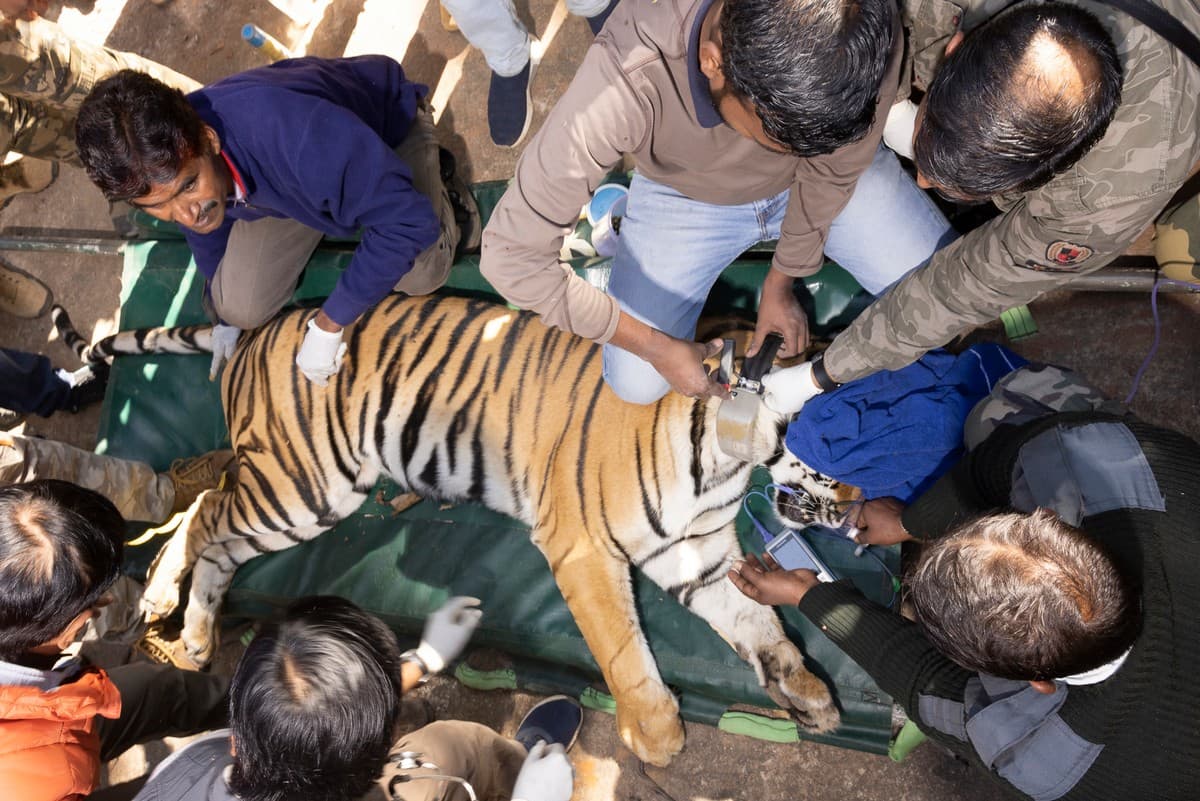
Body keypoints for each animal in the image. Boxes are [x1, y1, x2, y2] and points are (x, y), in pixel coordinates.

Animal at [55, 294, 850, 767]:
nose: (847, 516)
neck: (726, 456)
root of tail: (260, 325)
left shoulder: (697, 556)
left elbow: (757, 624)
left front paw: (808, 691)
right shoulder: (583, 546)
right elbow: (625, 649)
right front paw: (657, 737)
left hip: (299, 491)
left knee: (212, 519)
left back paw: (181, 620)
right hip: (302, 486)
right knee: (209, 513)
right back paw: (174, 611)